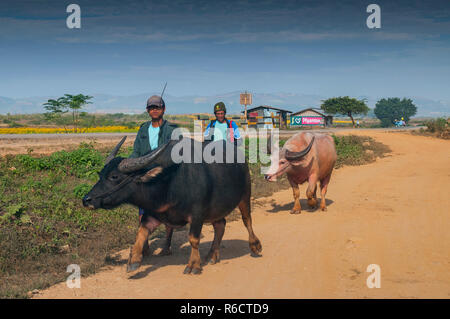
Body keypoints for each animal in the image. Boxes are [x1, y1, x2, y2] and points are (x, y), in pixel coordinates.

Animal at [82, 136, 262, 274]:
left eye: (114, 176)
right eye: (100, 174)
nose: (86, 200)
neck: (168, 182)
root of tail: (242, 160)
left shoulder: (197, 215)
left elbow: (193, 239)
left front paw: (193, 265)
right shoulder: (154, 213)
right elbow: (141, 232)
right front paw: (134, 260)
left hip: (245, 194)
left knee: (247, 219)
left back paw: (255, 246)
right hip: (216, 209)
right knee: (220, 225)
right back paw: (212, 255)